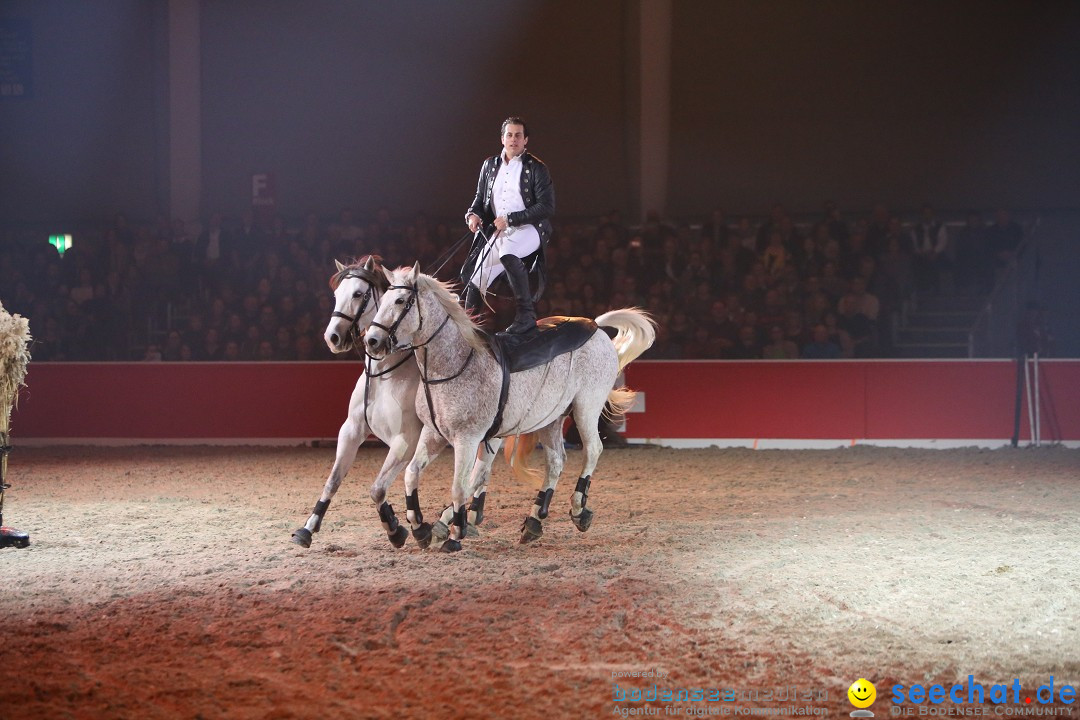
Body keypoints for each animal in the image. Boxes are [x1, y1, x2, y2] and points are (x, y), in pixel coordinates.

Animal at [291, 259, 531, 552]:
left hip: (489, 434)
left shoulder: (405, 439)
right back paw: (470, 516)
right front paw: (307, 529)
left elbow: (378, 488)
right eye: (337, 294)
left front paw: (404, 529)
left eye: (358, 294)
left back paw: (457, 519)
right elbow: (333, 481)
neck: (384, 374)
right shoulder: (351, 431)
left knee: (478, 474)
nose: (333, 337)